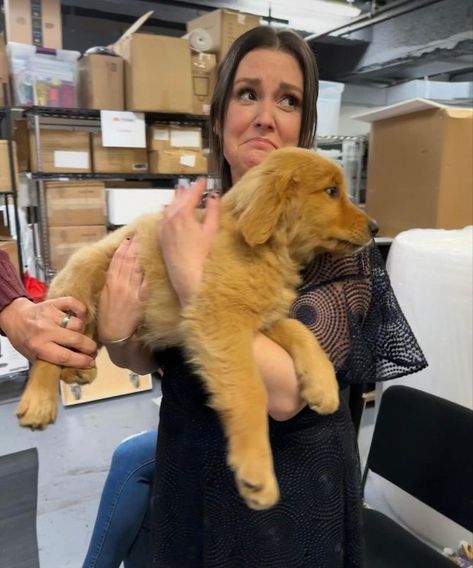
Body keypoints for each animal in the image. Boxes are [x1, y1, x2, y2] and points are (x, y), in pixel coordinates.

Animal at [15, 146, 376, 510]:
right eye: (331, 191)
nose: (374, 227)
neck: (267, 249)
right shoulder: (220, 320)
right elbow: (249, 390)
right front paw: (256, 469)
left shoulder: (260, 319)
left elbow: (301, 331)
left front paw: (322, 384)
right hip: (80, 282)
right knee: (50, 348)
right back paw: (40, 401)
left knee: (83, 339)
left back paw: (80, 370)